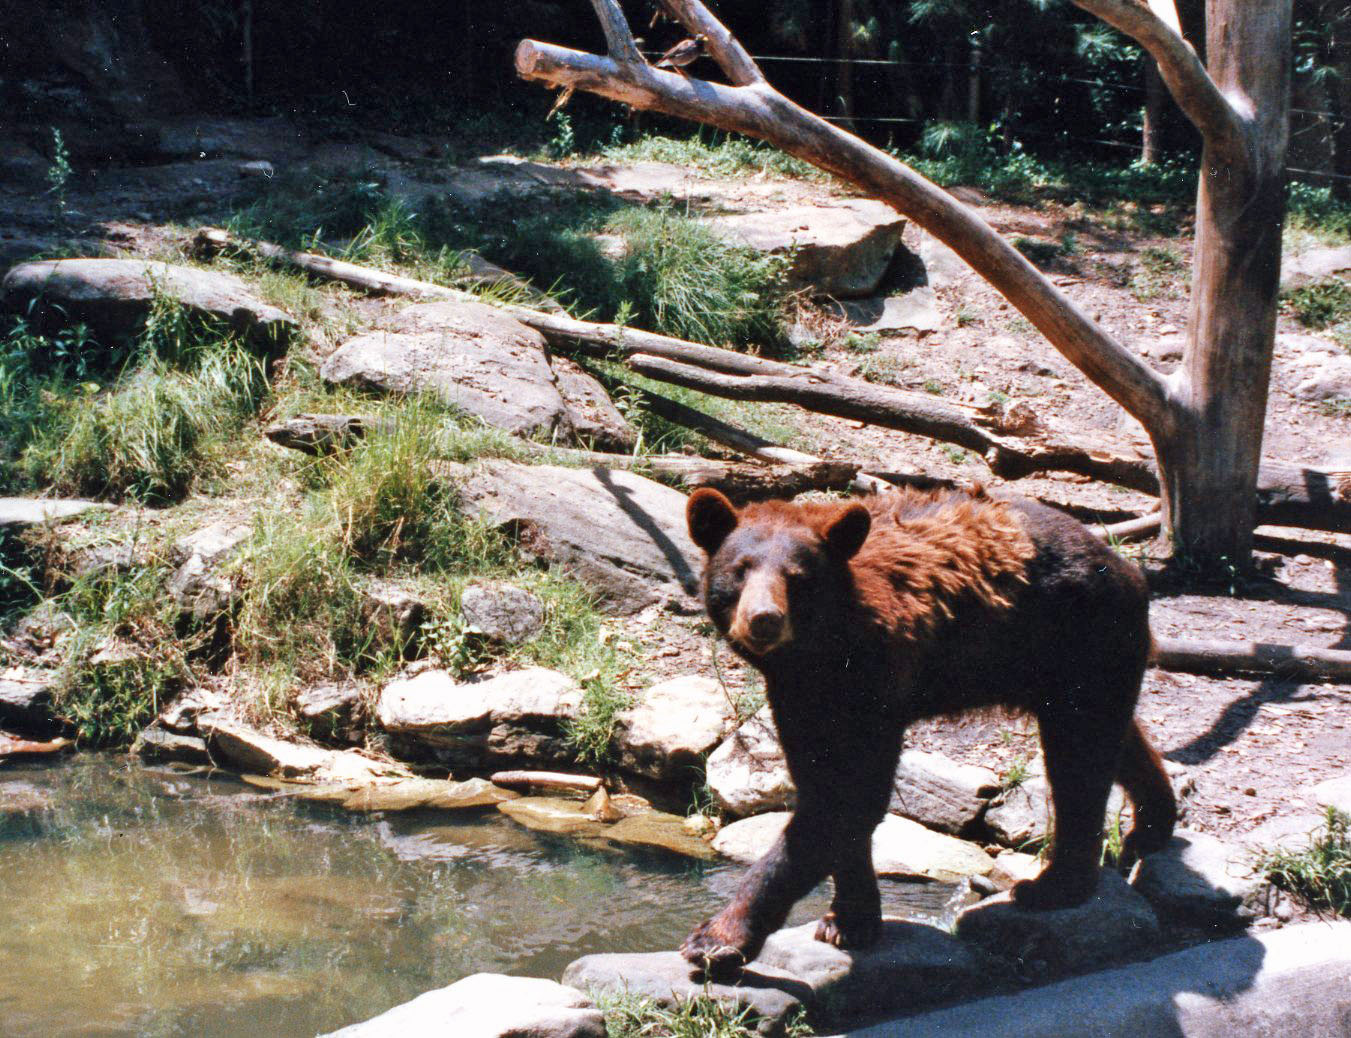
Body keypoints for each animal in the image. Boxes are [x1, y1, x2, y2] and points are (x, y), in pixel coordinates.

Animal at [681, 485, 1176, 976]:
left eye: (798, 577)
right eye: (740, 569)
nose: (764, 618)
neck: (823, 652)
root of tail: (1123, 564)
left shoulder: (875, 685)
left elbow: (846, 800)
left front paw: (717, 937)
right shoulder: (801, 698)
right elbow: (823, 785)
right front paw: (849, 920)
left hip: (1082, 638)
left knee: (1079, 760)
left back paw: (1053, 885)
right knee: (1114, 739)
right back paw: (1152, 824)